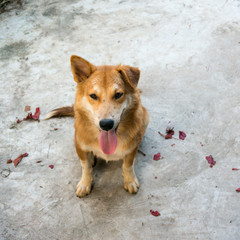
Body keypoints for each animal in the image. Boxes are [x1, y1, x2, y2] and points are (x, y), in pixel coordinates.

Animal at [45, 55, 148, 197]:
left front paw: (129, 180)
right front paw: (85, 184)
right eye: (93, 96)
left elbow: (128, 165)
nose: (106, 124)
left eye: (118, 94)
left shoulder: (131, 149)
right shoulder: (80, 146)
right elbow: (85, 167)